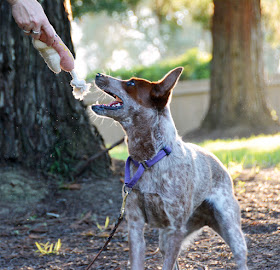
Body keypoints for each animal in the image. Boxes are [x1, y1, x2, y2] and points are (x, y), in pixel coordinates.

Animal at [91, 66, 247, 268]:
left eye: (131, 83)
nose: (98, 74)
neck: (149, 160)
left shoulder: (175, 228)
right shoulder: (135, 225)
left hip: (230, 228)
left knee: (240, 255)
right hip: (165, 239)